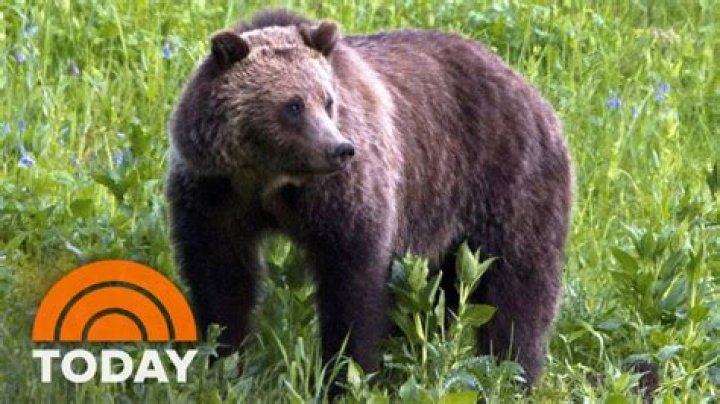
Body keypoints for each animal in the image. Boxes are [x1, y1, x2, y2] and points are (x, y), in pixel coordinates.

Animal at [166, 8, 572, 388]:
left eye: (327, 101)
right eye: (293, 105)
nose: (340, 149)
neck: (270, 180)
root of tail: (531, 90)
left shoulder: (342, 197)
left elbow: (353, 285)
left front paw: (345, 373)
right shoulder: (215, 194)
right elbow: (221, 276)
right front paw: (223, 358)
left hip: (507, 183)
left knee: (518, 287)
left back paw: (513, 373)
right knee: (441, 294)